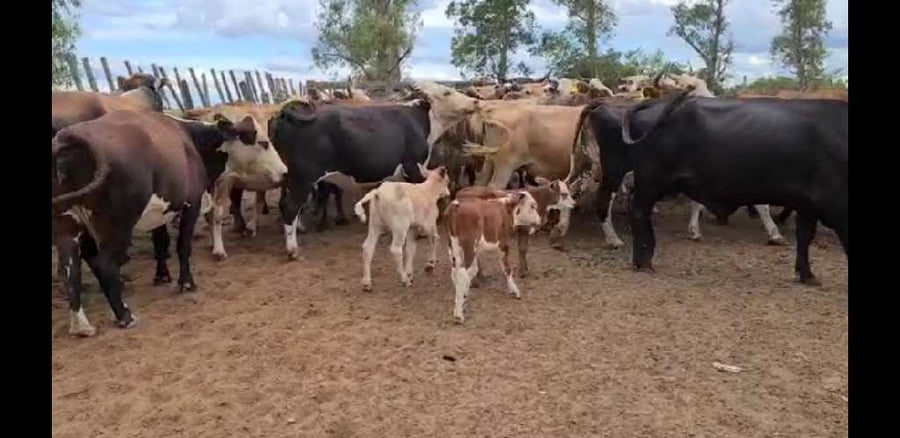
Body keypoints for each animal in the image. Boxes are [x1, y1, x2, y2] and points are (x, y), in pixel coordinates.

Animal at [52, 110, 231, 336]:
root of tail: (68, 134)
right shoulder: (192, 204)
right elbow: (183, 246)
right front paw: (186, 284)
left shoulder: (159, 212)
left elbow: (161, 242)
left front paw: (162, 276)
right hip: (119, 224)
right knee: (104, 264)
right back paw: (125, 316)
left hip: (67, 226)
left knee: (70, 270)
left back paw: (81, 325)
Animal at [445, 190, 543, 324]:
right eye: (532, 206)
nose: (540, 219)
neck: (506, 208)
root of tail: (456, 204)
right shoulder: (503, 244)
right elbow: (507, 269)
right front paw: (514, 291)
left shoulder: (478, 250)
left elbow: (474, 271)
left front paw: (465, 295)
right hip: (469, 245)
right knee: (462, 274)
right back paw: (459, 316)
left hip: (453, 246)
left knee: (455, 273)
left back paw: (458, 308)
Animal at [580, 89, 847, 284]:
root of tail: (652, 103)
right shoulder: (833, 203)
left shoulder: (809, 204)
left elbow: (805, 237)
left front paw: (806, 274)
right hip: (645, 177)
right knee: (631, 209)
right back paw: (642, 259)